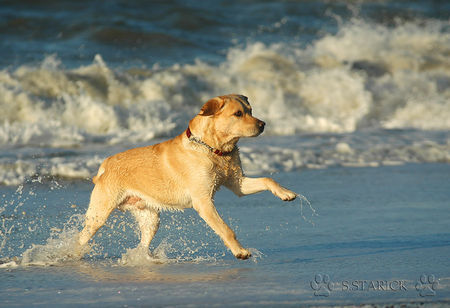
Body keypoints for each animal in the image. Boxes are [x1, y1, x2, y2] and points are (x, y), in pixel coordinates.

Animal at [76, 94, 298, 260]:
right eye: (238, 113)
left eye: (251, 111)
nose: (263, 124)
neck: (214, 149)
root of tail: (105, 165)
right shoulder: (203, 201)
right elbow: (226, 229)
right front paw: (240, 251)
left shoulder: (238, 184)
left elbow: (268, 180)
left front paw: (286, 193)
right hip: (99, 214)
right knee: (82, 236)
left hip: (150, 218)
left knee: (143, 242)